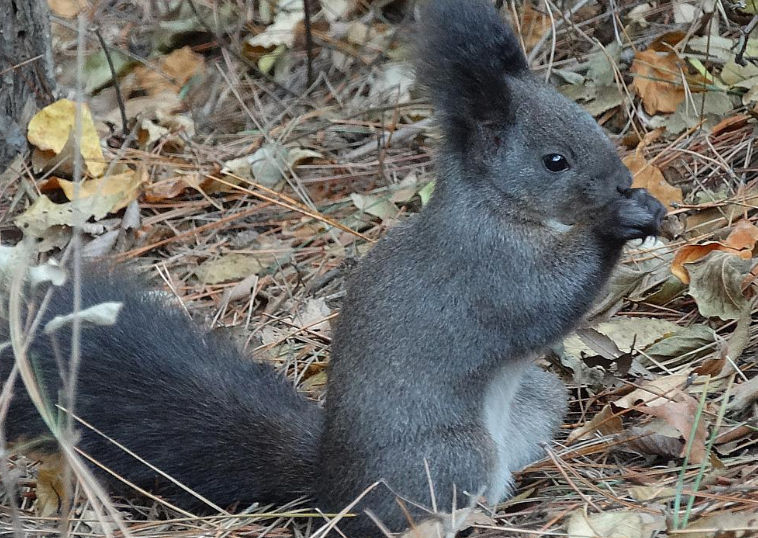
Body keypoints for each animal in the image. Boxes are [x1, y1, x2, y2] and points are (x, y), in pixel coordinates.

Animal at [0, 1, 664, 532]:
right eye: (555, 161)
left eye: (588, 118)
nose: (622, 180)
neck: (497, 207)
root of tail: (330, 487)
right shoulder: (488, 269)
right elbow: (546, 300)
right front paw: (619, 222)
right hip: (448, 457)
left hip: (536, 402)